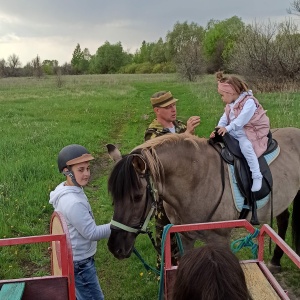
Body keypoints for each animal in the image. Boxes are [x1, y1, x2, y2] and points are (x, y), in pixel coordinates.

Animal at [106, 126, 300, 270]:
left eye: (137, 197)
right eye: (113, 197)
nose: (115, 247)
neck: (197, 182)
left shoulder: (220, 240)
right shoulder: (185, 237)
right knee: (284, 219)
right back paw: (275, 261)